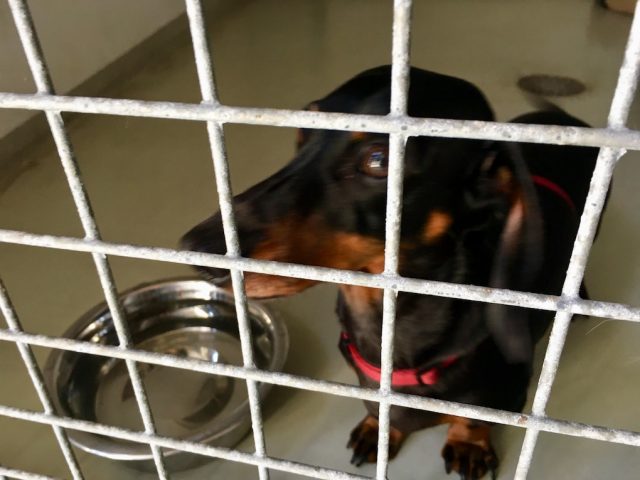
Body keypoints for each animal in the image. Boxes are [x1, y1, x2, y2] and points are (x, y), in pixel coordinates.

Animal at [180, 65, 600, 478]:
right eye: (302, 133)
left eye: (379, 160)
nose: (195, 250)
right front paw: (377, 428)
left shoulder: (507, 395)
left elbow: (474, 419)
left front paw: (468, 443)